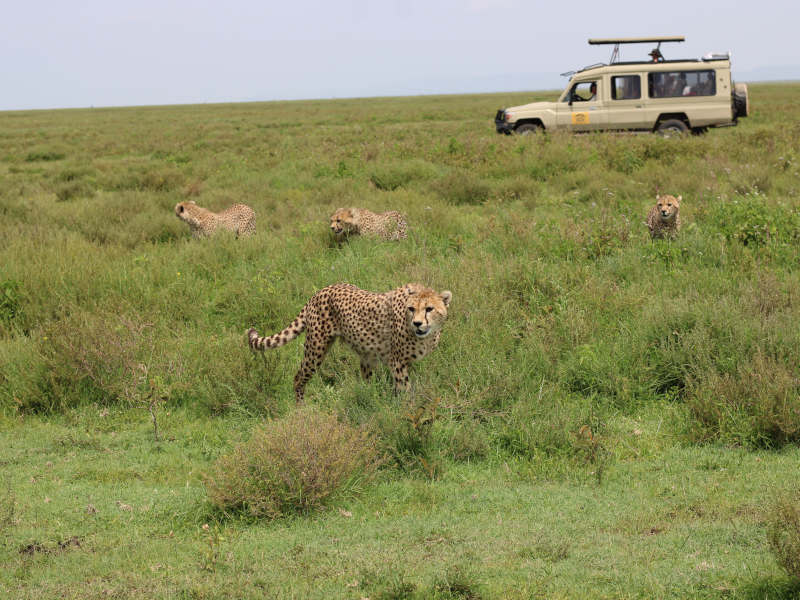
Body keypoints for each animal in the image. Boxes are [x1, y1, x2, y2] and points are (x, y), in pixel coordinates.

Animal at [247, 282, 450, 404]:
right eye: (411, 309)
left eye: (429, 309)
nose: (417, 323)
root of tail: (322, 290)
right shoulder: (397, 361)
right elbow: (405, 388)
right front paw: (408, 410)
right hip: (316, 349)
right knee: (298, 378)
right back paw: (301, 408)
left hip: (367, 356)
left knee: (366, 381)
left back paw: (370, 398)